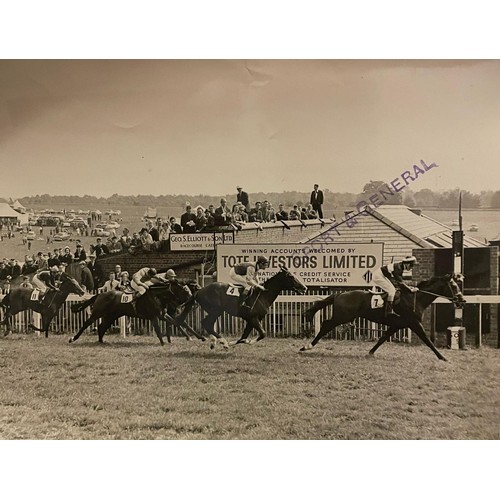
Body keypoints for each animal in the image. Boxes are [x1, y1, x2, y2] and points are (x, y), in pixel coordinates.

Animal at [176, 268, 308, 350]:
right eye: (291, 276)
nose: (304, 287)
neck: (263, 295)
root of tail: (200, 290)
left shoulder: (251, 320)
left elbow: (244, 336)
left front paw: (239, 341)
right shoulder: (253, 318)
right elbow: (263, 333)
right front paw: (247, 342)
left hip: (215, 311)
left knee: (207, 323)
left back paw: (215, 342)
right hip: (215, 310)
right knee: (207, 323)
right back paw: (223, 342)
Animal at [298, 274, 466, 360]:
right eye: (454, 286)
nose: (462, 300)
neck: (415, 298)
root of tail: (339, 295)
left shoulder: (397, 325)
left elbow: (383, 337)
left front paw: (370, 352)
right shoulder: (414, 323)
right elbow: (428, 341)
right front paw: (442, 357)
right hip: (342, 317)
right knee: (326, 325)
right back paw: (307, 346)